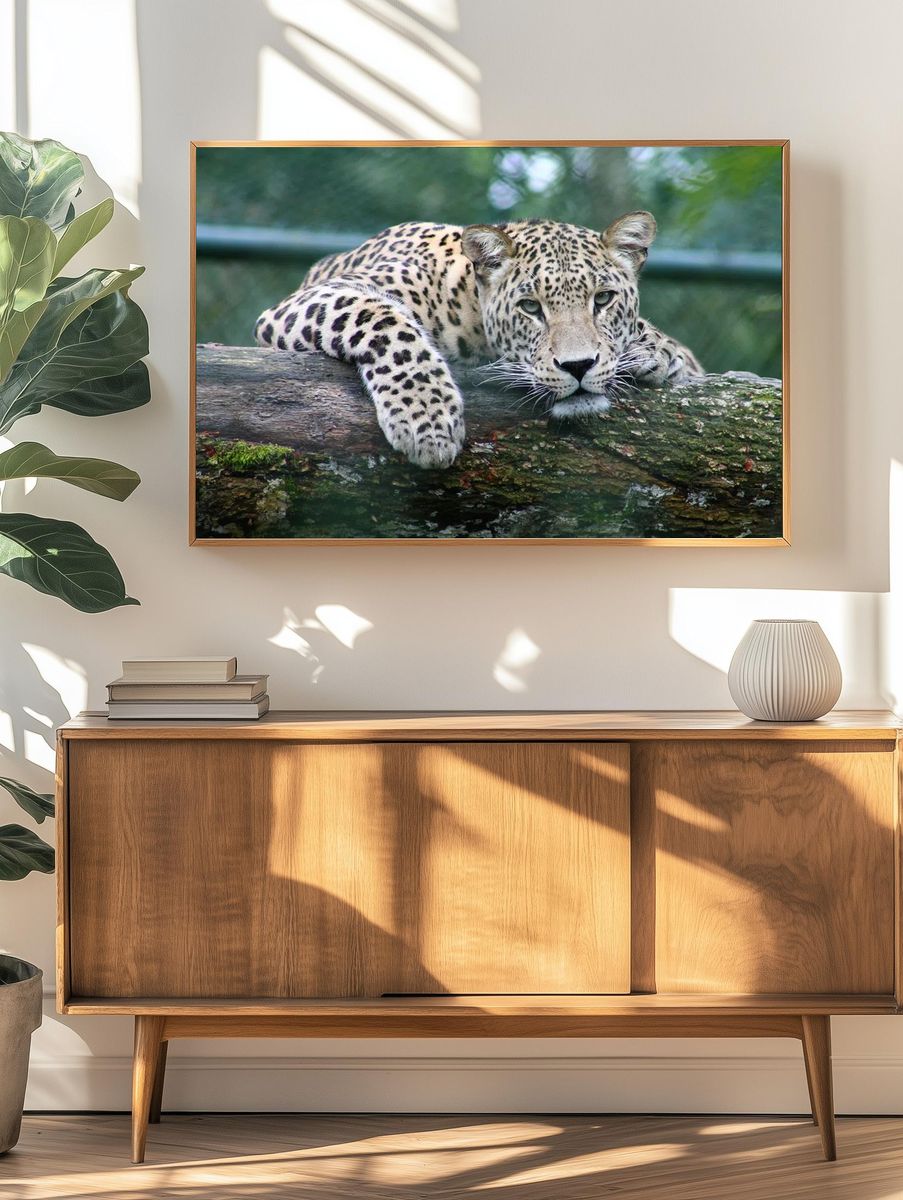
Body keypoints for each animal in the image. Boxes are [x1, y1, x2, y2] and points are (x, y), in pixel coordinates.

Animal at [255, 210, 702, 469]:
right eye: (530, 307)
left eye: (604, 299)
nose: (578, 366)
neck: (467, 304)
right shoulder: (309, 300)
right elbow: (384, 321)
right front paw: (427, 419)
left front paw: (657, 350)